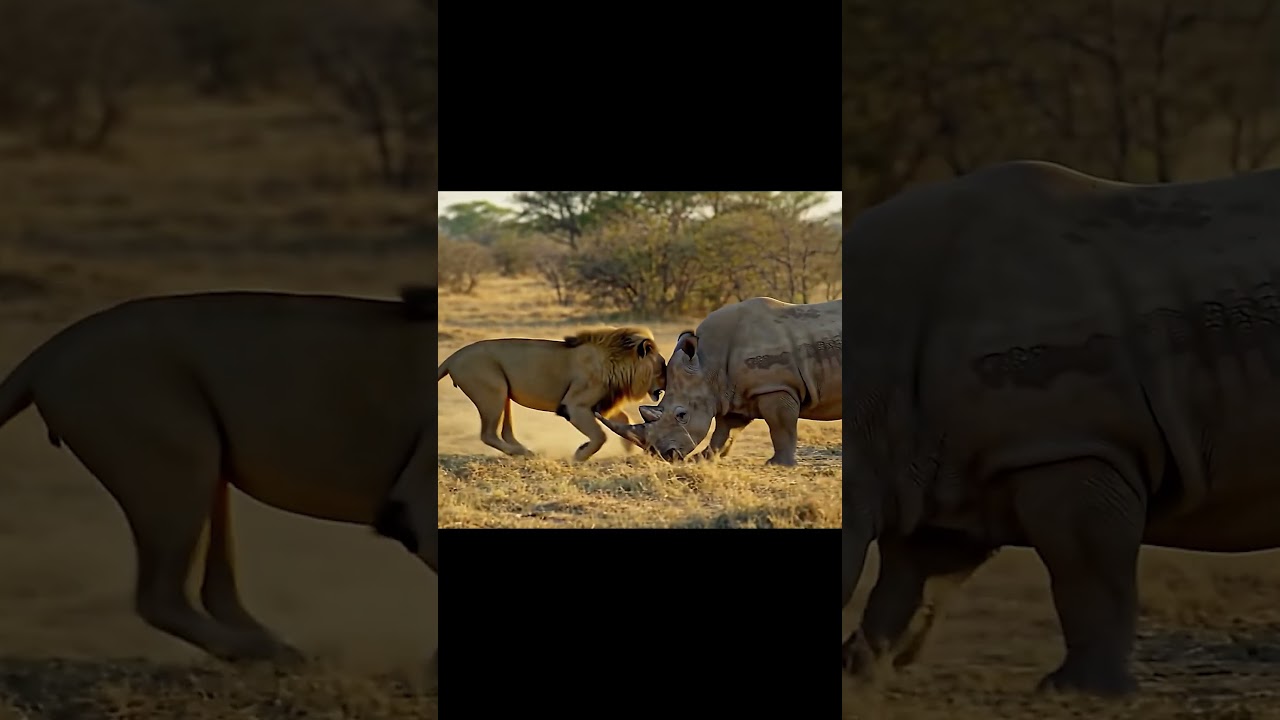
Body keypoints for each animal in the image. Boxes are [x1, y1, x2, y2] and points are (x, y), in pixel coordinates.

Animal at [0, 287, 437, 676]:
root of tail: (50, 349)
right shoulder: (416, 502)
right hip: (171, 460)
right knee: (160, 597)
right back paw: (275, 653)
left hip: (203, 472)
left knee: (214, 589)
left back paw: (276, 651)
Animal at [437, 326, 666, 461]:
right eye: (662, 370)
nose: (664, 388)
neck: (615, 360)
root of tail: (452, 357)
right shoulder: (574, 405)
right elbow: (600, 436)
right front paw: (580, 455)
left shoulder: (602, 404)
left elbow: (624, 420)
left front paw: (629, 449)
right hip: (493, 392)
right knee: (488, 434)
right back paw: (526, 454)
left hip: (503, 394)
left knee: (505, 432)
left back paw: (527, 453)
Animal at [596, 297, 842, 465]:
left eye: (681, 415)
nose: (665, 455)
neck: (708, 365)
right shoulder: (733, 394)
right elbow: (724, 432)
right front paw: (702, 459)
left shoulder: (775, 387)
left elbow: (781, 427)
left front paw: (778, 465)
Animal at [841, 159, 1280, 697]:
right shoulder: (933, 471)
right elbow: (911, 587)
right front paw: (859, 674)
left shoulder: (1067, 448)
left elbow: (1088, 575)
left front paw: (1078, 690)